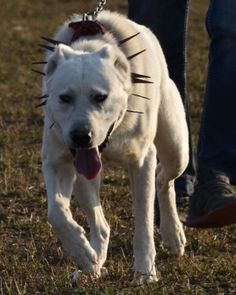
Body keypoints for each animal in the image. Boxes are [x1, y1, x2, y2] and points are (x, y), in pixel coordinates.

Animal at [39, 10, 189, 286]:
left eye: (101, 97)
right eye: (64, 98)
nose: (81, 136)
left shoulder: (142, 160)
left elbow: (143, 221)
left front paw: (145, 273)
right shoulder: (57, 160)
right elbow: (56, 212)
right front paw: (82, 253)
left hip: (176, 149)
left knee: (164, 180)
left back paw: (173, 234)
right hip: (84, 176)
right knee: (100, 224)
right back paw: (93, 262)